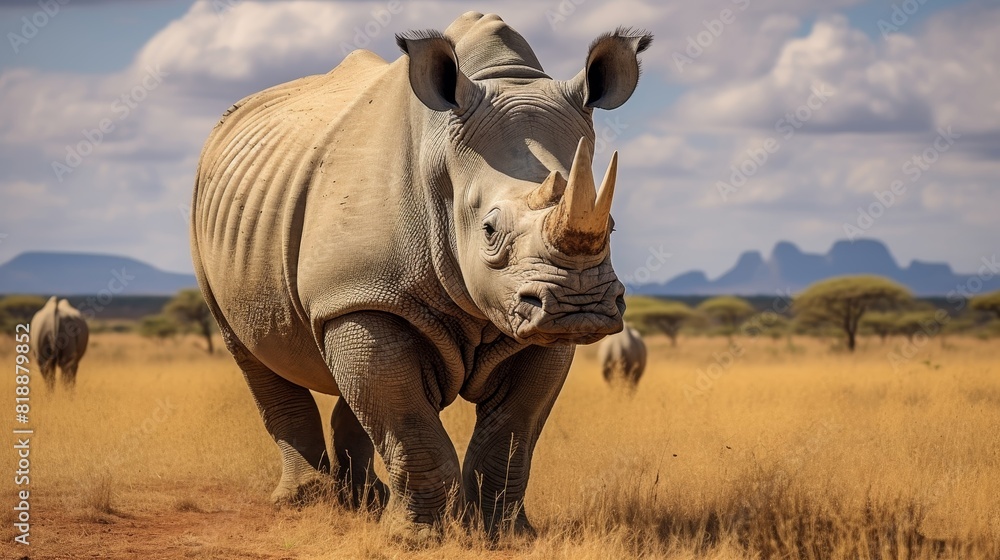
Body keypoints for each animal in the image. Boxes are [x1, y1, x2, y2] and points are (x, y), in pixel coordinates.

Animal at [190, 12, 651, 536]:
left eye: (611, 226)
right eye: (489, 230)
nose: (580, 308)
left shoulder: (529, 320)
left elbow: (514, 430)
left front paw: (503, 534)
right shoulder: (365, 292)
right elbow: (407, 422)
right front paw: (421, 537)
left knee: (348, 368)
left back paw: (363, 502)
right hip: (221, 227)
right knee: (251, 352)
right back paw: (304, 504)